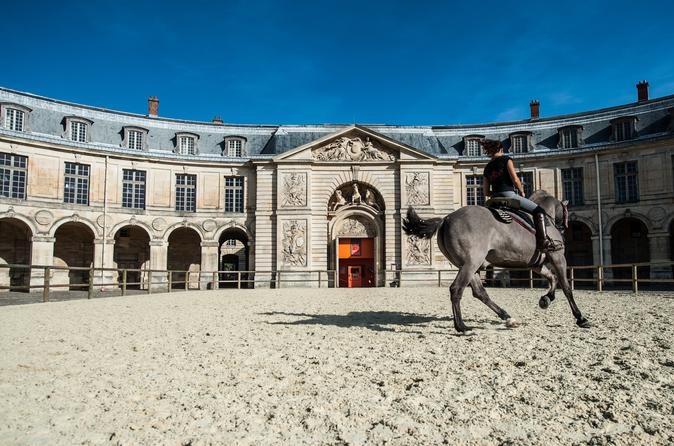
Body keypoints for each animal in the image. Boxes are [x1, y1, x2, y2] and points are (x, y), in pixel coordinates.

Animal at [400, 190, 588, 332]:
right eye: (565, 211)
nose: (564, 228)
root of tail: (446, 218)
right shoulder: (558, 257)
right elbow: (566, 287)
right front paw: (580, 317)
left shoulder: (536, 264)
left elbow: (552, 279)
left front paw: (546, 299)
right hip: (471, 264)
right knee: (456, 289)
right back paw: (462, 327)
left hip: (470, 266)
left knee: (479, 293)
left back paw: (507, 317)